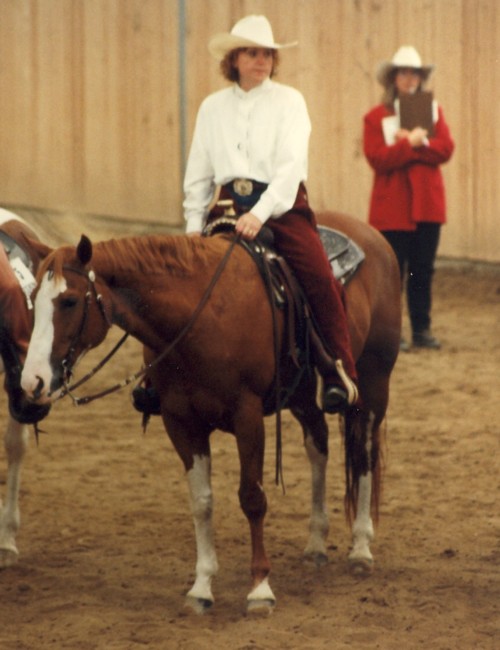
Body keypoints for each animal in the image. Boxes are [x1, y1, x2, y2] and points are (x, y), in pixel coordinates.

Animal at [21, 210, 400, 612]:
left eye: (69, 301)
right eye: (32, 298)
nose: (33, 381)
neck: (203, 316)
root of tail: (372, 235)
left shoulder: (248, 416)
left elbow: (252, 497)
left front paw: (260, 588)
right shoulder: (181, 421)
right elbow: (201, 502)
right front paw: (201, 587)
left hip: (373, 386)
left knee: (363, 454)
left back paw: (361, 548)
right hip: (302, 398)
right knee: (319, 449)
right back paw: (315, 544)